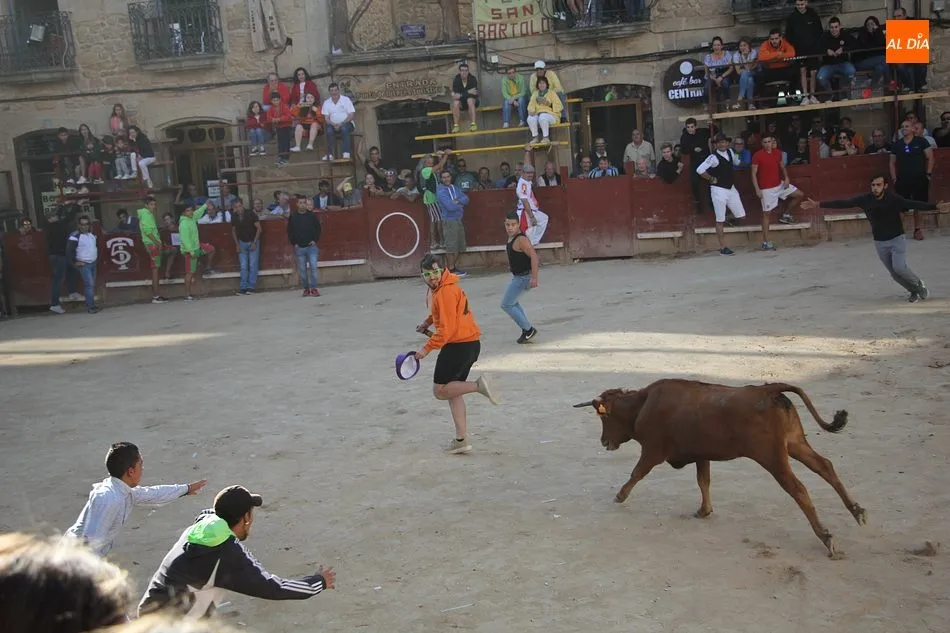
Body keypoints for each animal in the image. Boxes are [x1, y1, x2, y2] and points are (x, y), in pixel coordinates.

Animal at [573, 379, 867, 557]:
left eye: (605, 418)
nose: (604, 442)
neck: (641, 404)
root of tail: (767, 389)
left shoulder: (653, 452)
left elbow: (637, 473)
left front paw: (619, 496)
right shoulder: (701, 455)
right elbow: (703, 481)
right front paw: (704, 510)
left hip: (772, 457)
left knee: (798, 489)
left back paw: (826, 536)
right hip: (795, 444)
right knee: (825, 467)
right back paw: (857, 511)